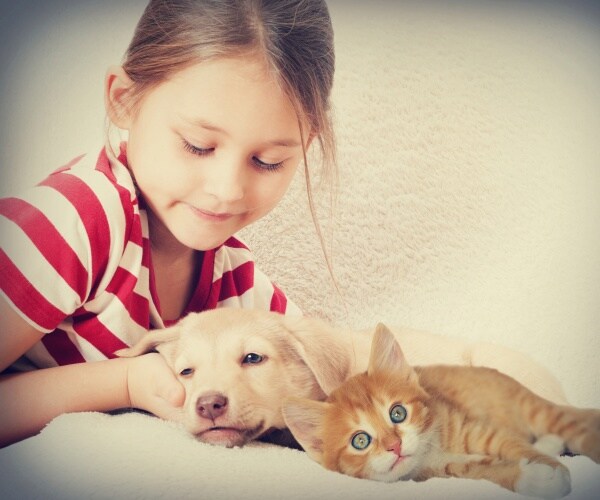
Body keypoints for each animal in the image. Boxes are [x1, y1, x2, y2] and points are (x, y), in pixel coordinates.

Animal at [282, 324, 600, 496]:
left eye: (397, 413)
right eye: (360, 440)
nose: (395, 446)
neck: (432, 449)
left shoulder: (479, 428)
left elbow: (513, 445)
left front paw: (550, 468)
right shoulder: (442, 471)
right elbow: (481, 469)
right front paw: (533, 478)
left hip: (533, 405)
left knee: (569, 423)